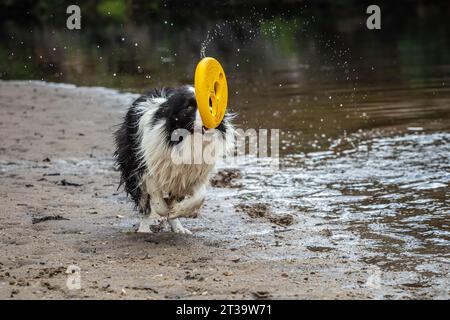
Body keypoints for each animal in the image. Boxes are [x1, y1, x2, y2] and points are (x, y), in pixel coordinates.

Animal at [112, 86, 234, 234]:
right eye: (189, 106)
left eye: (210, 103)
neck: (187, 140)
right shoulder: (147, 170)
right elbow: (157, 202)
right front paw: (165, 211)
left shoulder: (193, 174)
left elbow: (200, 196)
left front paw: (177, 211)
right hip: (132, 166)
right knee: (144, 203)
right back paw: (145, 228)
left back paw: (178, 228)